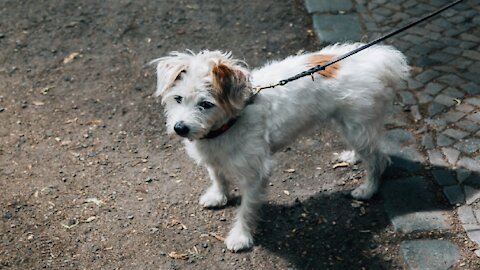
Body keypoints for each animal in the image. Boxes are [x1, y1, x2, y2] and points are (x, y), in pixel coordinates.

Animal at [151, 43, 408, 252]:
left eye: (206, 104)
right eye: (177, 98)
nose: (180, 128)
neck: (229, 122)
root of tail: (380, 57)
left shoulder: (255, 174)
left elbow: (246, 208)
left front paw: (241, 236)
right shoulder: (214, 158)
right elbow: (218, 176)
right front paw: (219, 196)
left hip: (358, 126)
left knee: (378, 159)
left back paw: (368, 189)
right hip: (349, 125)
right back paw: (353, 157)